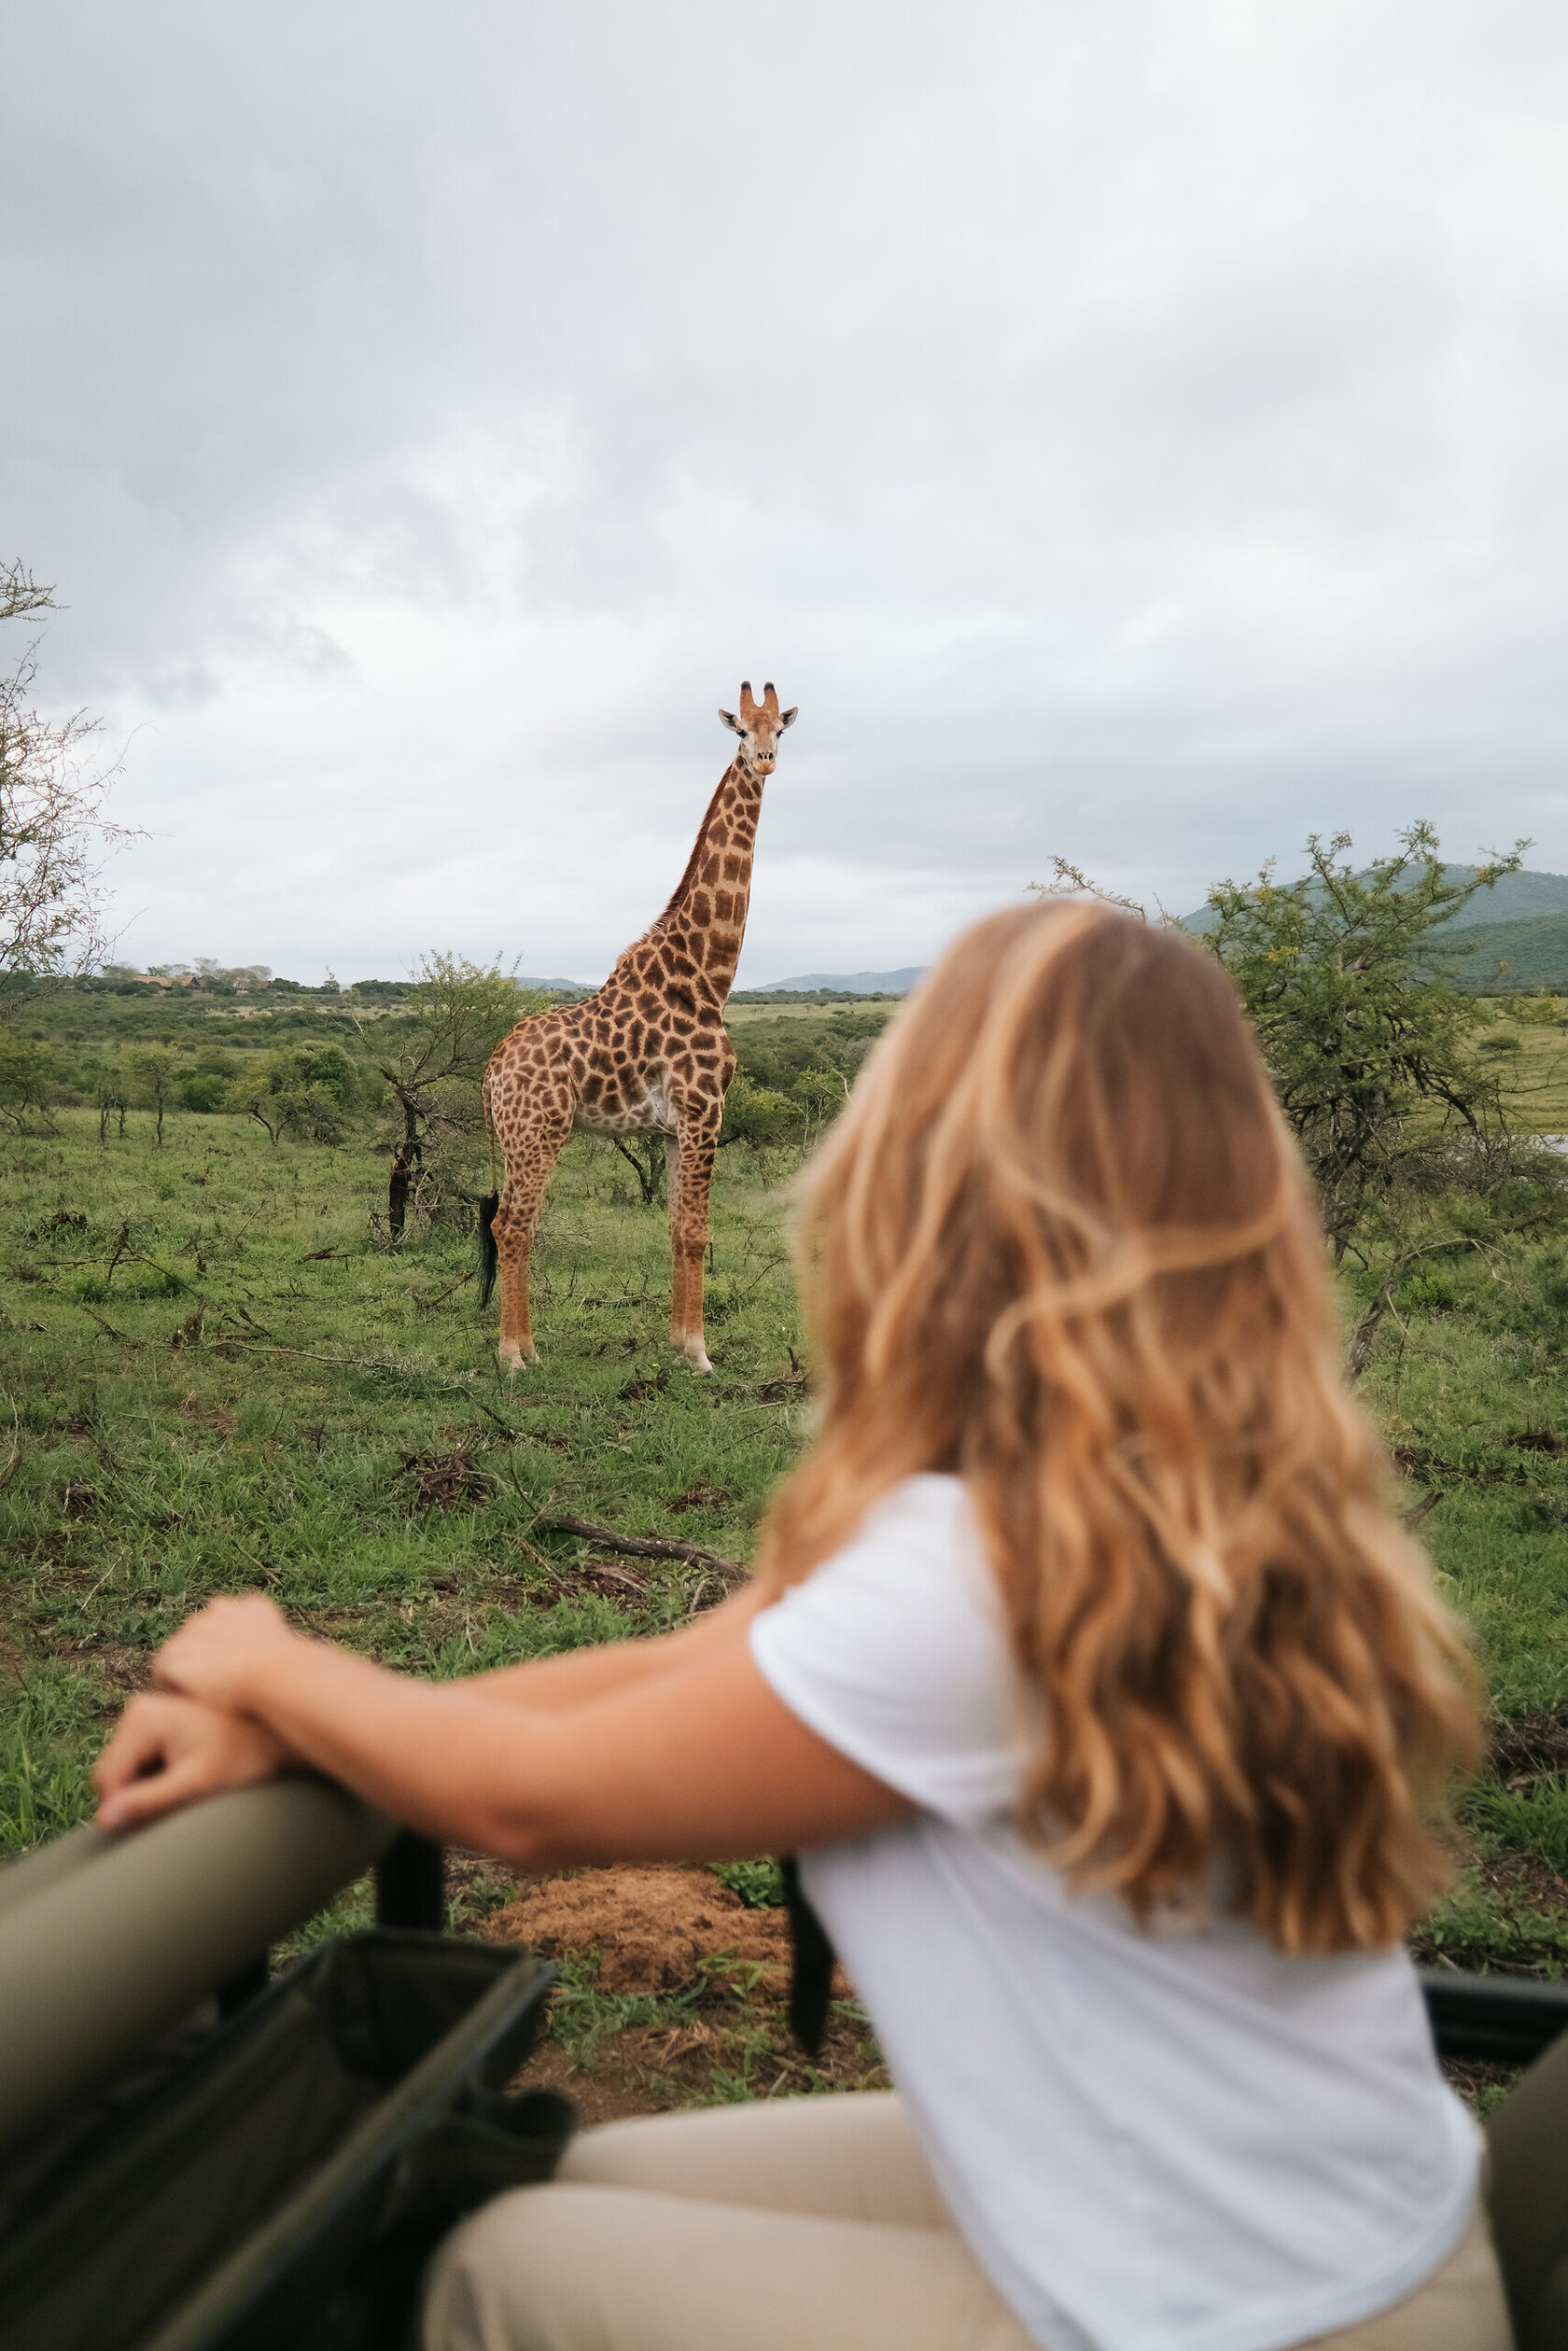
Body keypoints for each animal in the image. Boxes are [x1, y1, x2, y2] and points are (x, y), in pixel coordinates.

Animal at [479, 681, 798, 1373]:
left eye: (780, 730)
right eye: (741, 731)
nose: (764, 761)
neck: (706, 977)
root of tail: (489, 1072)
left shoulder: (678, 1127)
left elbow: (678, 1229)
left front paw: (678, 1345)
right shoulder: (706, 1111)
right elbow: (701, 1231)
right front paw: (702, 1355)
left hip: (521, 1139)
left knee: (507, 1223)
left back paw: (530, 1349)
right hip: (537, 1133)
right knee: (513, 1225)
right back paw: (513, 1357)